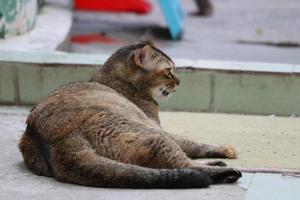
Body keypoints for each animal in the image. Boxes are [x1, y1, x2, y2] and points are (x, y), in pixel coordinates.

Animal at [18, 33, 241, 189]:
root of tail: (60, 139)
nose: (179, 81)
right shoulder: (158, 126)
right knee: (186, 165)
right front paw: (225, 148)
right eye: (169, 71)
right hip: (155, 136)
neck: (115, 81)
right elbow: (192, 142)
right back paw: (226, 171)